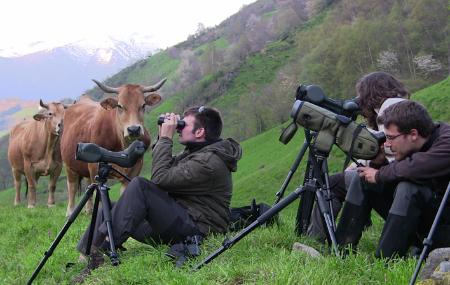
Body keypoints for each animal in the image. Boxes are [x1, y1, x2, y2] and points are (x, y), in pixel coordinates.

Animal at [60, 77, 164, 215]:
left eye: (143, 105)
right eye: (120, 106)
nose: (134, 129)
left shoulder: (135, 168)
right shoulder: (95, 166)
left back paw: (88, 210)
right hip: (69, 165)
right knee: (71, 187)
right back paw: (70, 212)